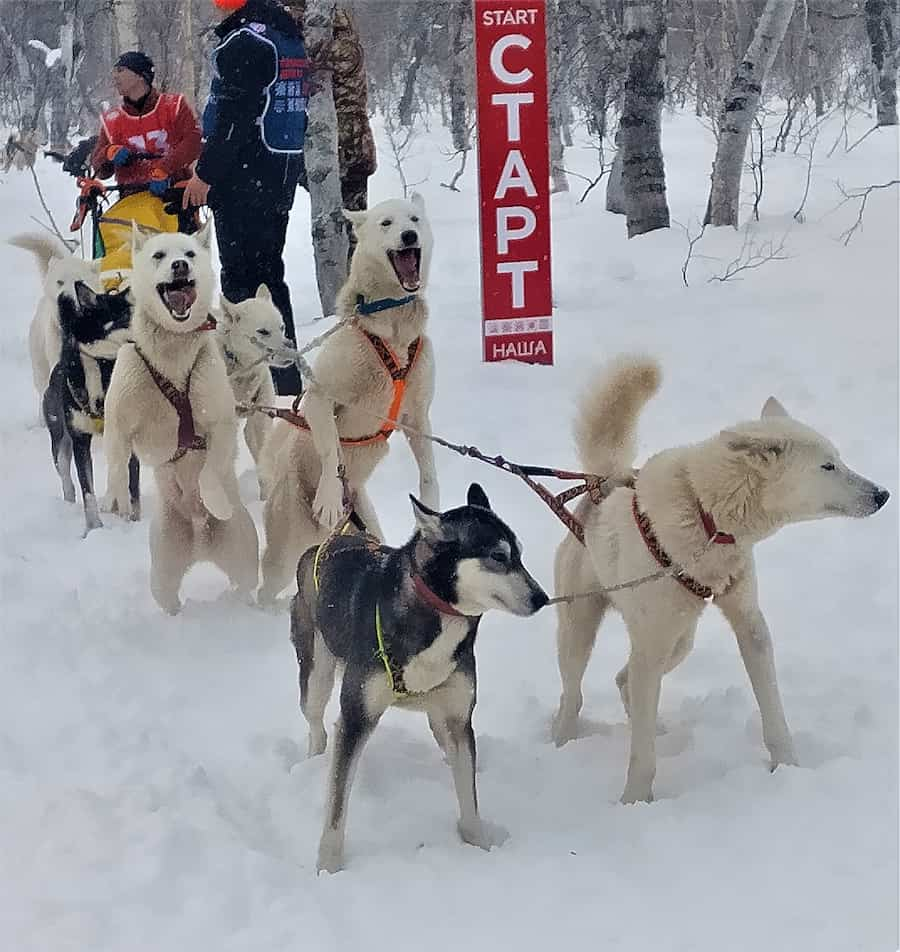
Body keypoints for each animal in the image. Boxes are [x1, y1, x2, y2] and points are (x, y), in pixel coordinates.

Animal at [106, 219, 262, 612]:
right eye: (159, 255)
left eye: (190, 253)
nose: (180, 265)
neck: (173, 358)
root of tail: (200, 548)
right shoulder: (120, 416)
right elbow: (116, 457)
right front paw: (116, 498)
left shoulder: (219, 421)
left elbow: (210, 469)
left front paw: (215, 501)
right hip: (162, 566)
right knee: (167, 598)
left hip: (243, 553)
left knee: (245, 584)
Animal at [256, 195, 440, 604]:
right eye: (386, 223)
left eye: (415, 219)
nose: (409, 235)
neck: (391, 331)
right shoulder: (321, 396)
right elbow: (330, 451)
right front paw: (327, 494)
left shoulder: (418, 416)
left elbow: (428, 469)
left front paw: (432, 502)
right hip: (283, 547)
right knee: (265, 585)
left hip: (366, 524)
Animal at [552, 356, 888, 804]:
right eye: (828, 465)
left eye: (839, 459)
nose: (883, 494)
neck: (708, 516)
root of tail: (603, 482)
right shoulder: (651, 644)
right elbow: (642, 755)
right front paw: (635, 800)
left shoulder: (749, 623)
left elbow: (773, 710)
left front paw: (788, 767)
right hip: (584, 628)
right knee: (574, 692)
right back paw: (561, 741)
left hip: (681, 640)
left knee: (626, 680)